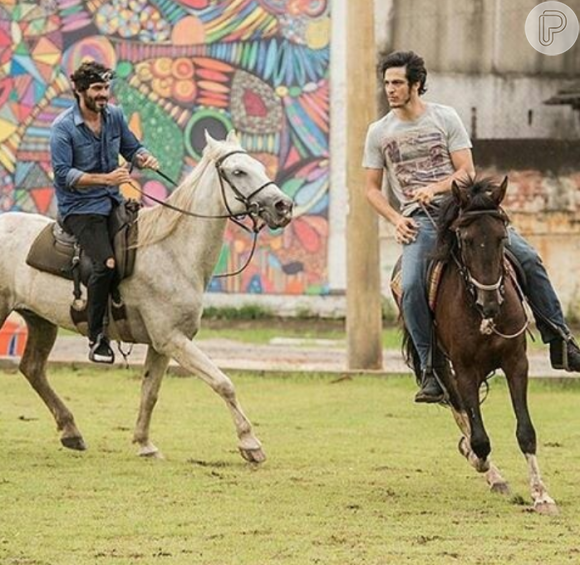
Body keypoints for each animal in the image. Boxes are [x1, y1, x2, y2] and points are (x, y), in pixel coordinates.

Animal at [0, 132, 292, 462]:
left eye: (260, 166)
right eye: (238, 171)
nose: (283, 206)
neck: (173, 250)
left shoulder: (162, 344)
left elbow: (150, 391)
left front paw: (144, 443)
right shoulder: (172, 339)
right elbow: (223, 382)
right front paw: (250, 443)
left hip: (40, 321)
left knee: (33, 369)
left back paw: (71, 431)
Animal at [404, 177, 556, 516]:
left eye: (501, 237)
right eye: (466, 239)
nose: (490, 304)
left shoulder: (517, 362)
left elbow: (526, 432)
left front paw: (541, 495)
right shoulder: (464, 371)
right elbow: (479, 438)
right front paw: (478, 458)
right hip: (441, 367)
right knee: (459, 411)